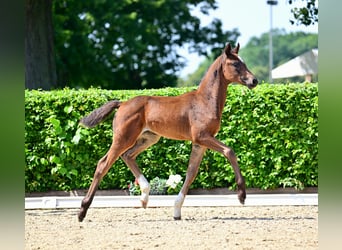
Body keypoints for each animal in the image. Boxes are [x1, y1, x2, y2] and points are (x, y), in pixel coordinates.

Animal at [78, 42, 256, 221]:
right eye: (235, 64)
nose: (254, 80)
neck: (204, 101)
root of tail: (122, 103)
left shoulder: (200, 143)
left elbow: (191, 173)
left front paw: (176, 211)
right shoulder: (202, 137)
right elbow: (229, 151)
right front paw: (242, 195)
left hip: (148, 138)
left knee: (127, 156)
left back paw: (144, 197)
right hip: (123, 138)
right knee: (103, 164)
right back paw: (82, 211)